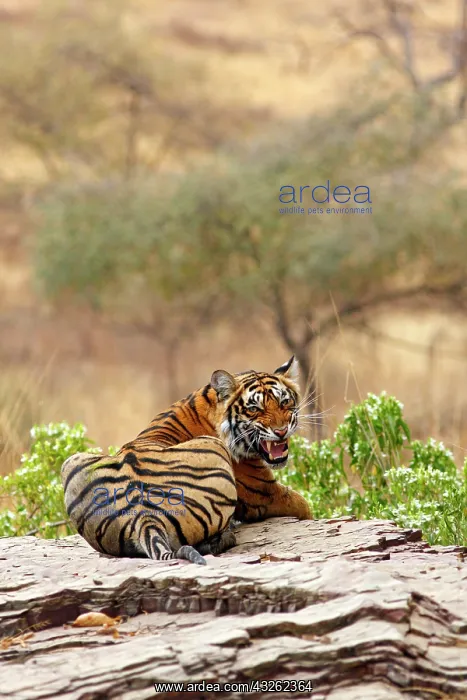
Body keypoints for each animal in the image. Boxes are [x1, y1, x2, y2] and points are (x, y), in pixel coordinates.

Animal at [61, 355, 311, 566]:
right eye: (254, 409)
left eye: (284, 402)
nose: (281, 431)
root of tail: (144, 517)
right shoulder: (263, 492)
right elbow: (304, 506)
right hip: (213, 447)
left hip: (72, 461)